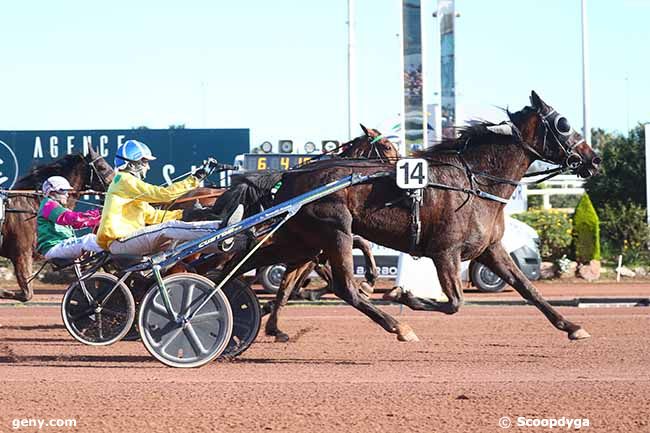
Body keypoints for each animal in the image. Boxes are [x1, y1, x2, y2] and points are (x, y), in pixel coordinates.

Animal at [216, 91, 596, 340]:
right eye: (563, 124)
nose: (593, 160)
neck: (475, 182)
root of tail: (290, 175)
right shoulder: (445, 252)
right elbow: (454, 303)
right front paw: (402, 296)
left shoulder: (490, 249)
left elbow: (527, 287)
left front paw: (572, 326)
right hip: (334, 232)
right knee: (344, 287)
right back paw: (398, 326)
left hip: (300, 240)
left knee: (242, 264)